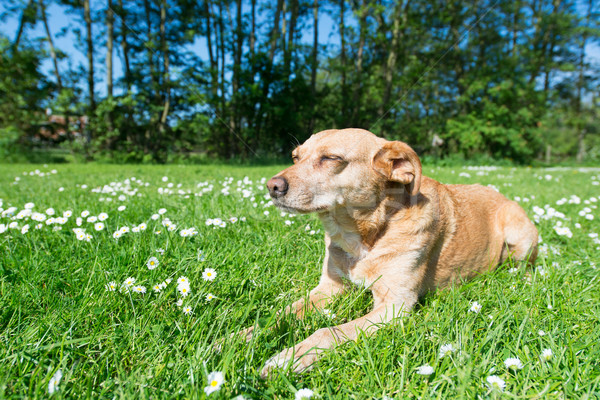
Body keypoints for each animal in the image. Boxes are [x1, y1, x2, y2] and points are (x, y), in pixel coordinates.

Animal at [252, 129, 536, 378]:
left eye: (331, 158)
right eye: (295, 157)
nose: (271, 186)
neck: (365, 237)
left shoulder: (395, 305)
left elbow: (329, 331)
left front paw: (289, 358)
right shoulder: (329, 288)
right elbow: (279, 314)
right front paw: (245, 336)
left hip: (518, 237)